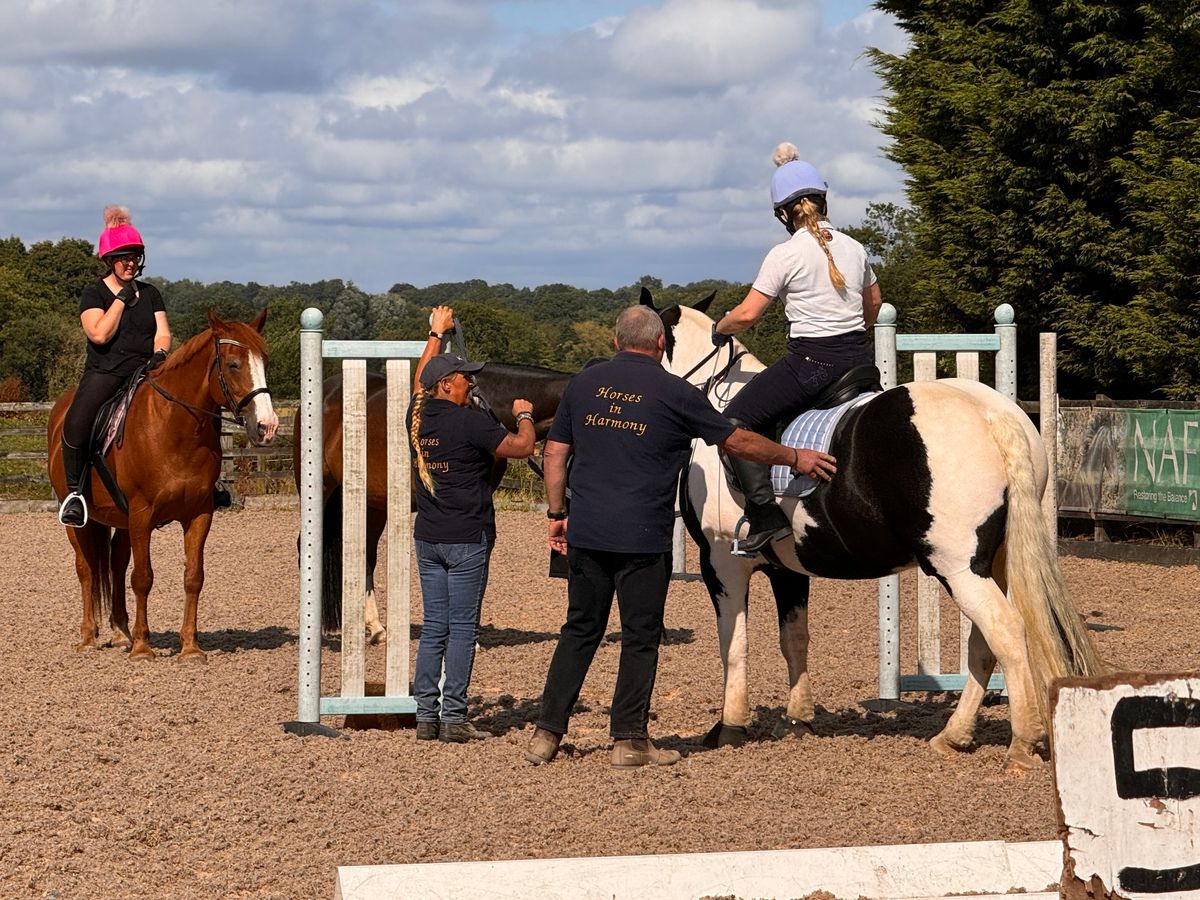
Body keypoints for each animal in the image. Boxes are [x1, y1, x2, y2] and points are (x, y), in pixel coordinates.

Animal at [47, 312, 278, 662]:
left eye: (264, 361)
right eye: (234, 364)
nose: (267, 426)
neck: (176, 429)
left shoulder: (199, 514)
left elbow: (193, 577)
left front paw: (190, 648)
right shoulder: (142, 513)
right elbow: (143, 578)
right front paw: (143, 648)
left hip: (122, 520)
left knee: (115, 565)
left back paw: (120, 633)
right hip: (81, 522)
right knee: (85, 568)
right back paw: (89, 637)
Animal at [648, 296, 1104, 777]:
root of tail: (991, 414)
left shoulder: (721, 563)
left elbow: (734, 643)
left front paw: (730, 726)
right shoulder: (787, 569)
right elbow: (794, 640)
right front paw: (799, 718)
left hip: (957, 567)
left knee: (1005, 630)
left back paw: (1022, 742)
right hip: (990, 563)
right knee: (983, 642)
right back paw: (955, 735)